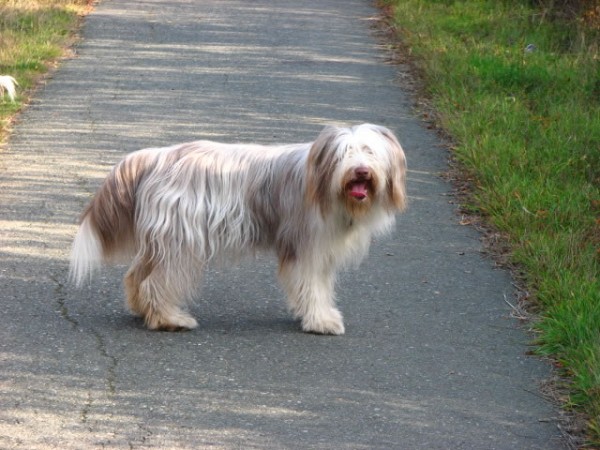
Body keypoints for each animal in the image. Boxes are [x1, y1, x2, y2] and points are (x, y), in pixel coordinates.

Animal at [70, 123, 408, 334]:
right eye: (344, 154)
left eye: (370, 151)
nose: (360, 171)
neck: (325, 185)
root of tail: (157, 156)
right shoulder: (306, 247)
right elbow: (311, 286)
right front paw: (320, 322)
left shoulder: (320, 251)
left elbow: (319, 287)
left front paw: (321, 315)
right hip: (182, 241)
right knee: (157, 281)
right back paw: (169, 319)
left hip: (163, 237)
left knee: (136, 276)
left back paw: (143, 310)